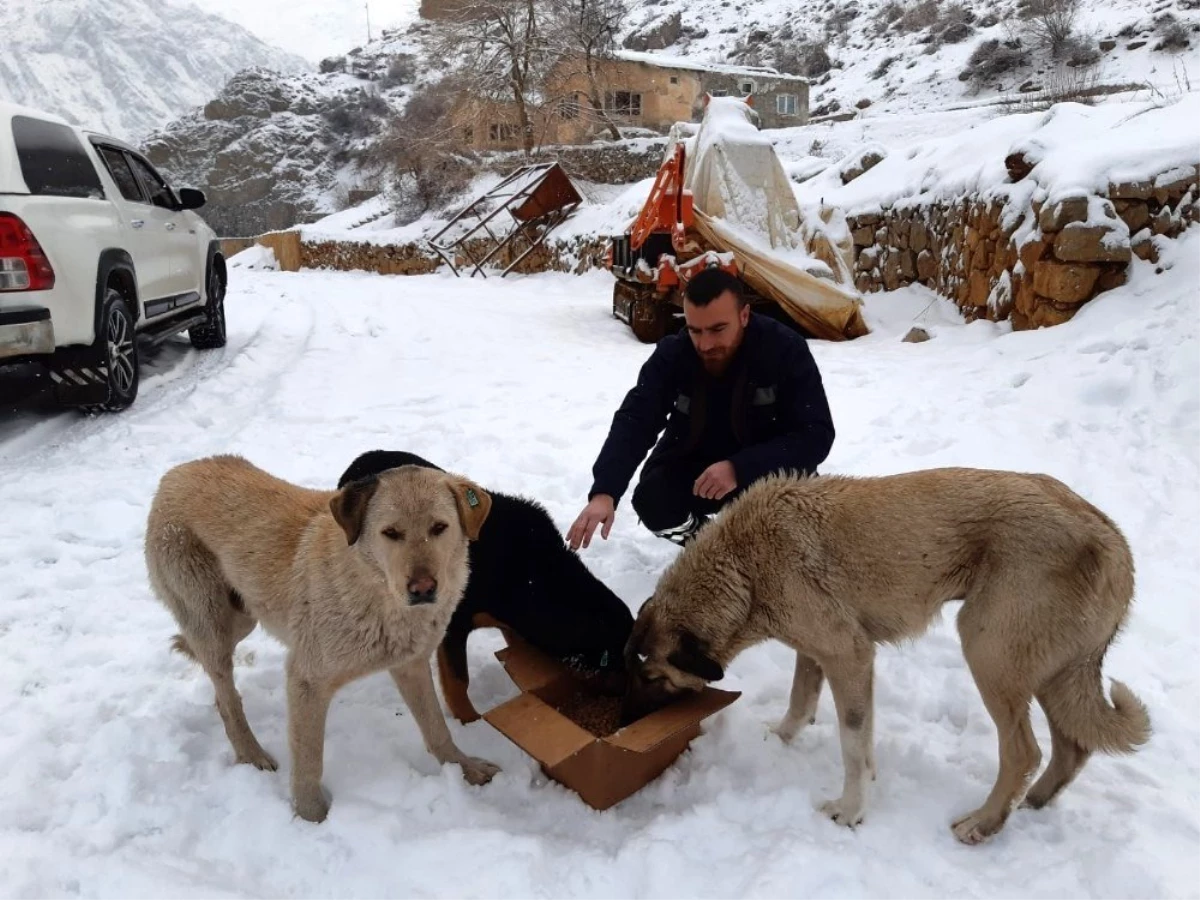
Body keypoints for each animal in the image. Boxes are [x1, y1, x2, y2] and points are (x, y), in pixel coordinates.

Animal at [146, 458, 501, 825]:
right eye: (391, 533)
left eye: (439, 527)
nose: (423, 589)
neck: (374, 590)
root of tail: (178, 472)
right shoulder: (307, 681)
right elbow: (309, 760)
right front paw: (311, 817)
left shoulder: (411, 666)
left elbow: (437, 729)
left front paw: (463, 769)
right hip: (213, 626)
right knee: (227, 699)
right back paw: (252, 754)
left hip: (243, 615)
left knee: (218, 689)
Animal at [338, 451, 638, 724]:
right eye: (617, 661)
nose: (627, 714)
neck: (535, 575)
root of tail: (360, 459)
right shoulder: (454, 623)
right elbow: (458, 681)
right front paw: (472, 723)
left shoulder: (514, 623)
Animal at [624, 472, 1147, 844]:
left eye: (653, 679)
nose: (629, 721)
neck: (744, 570)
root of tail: (1114, 540)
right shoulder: (820, 653)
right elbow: (802, 702)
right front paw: (781, 738)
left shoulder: (849, 655)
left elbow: (853, 745)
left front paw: (850, 810)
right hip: (1049, 670)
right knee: (1072, 747)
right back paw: (1029, 804)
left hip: (987, 649)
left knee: (1024, 752)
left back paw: (983, 822)